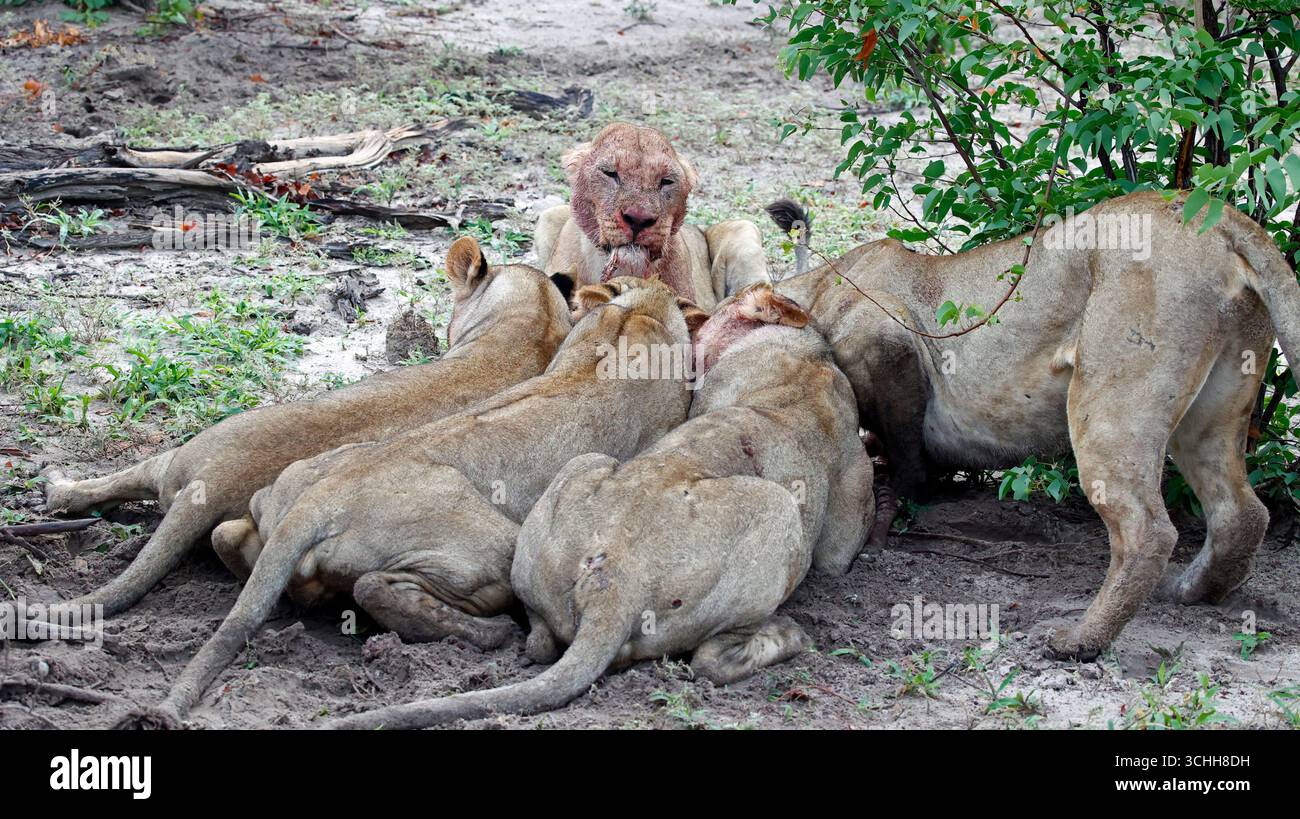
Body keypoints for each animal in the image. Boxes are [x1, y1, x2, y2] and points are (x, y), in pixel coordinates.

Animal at [773, 191, 1300, 660]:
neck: (816, 286)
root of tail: (1224, 217)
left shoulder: (884, 339)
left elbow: (907, 455)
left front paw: (900, 492)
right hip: (1215, 405)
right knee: (1241, 512)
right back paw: (1190, 590)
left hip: (1109, 397)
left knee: (1147, 529)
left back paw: (1081, 641)